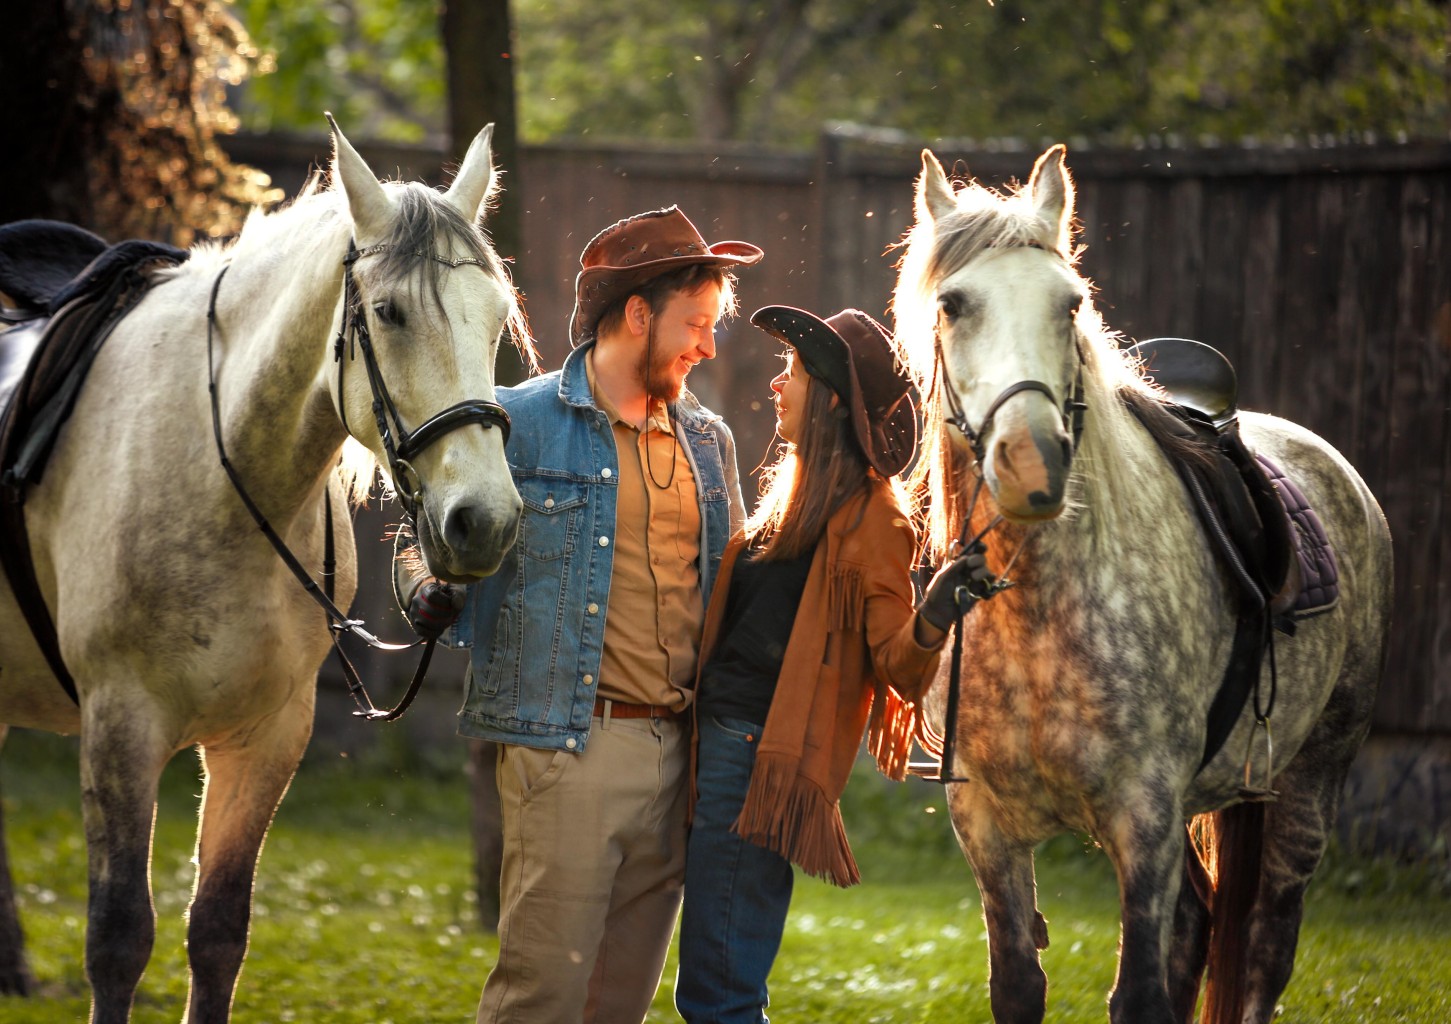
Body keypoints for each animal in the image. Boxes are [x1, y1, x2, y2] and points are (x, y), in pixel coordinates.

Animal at [0, 121, 533, 1021]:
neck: (215, 464)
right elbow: (118, 940)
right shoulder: (120, 726)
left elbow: (218, 933)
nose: (481, 520)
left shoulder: (268, 736)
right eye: (387, 313)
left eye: (495, 317)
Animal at [893, 145, 1392, 1021]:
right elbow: (1018, 984)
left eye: (1069, 305)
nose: (1032, 465)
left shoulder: (1145, 813)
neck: (1035, 612)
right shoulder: (985, 824)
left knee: (1265, 948)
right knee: (1197, 924)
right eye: (953, 304)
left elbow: (1139, 995)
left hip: (1308, 784)